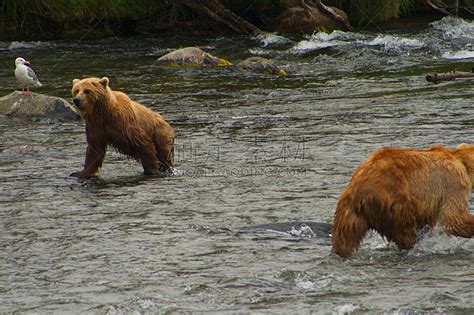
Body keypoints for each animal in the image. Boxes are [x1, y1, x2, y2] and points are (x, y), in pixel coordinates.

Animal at [332, 144, 474, 258]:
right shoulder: (453, 181)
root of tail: (358, 190)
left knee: (345, 238)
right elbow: (454, 218)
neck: (462, 162)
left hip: (349, 213)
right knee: (405, 228)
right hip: (394, 199)